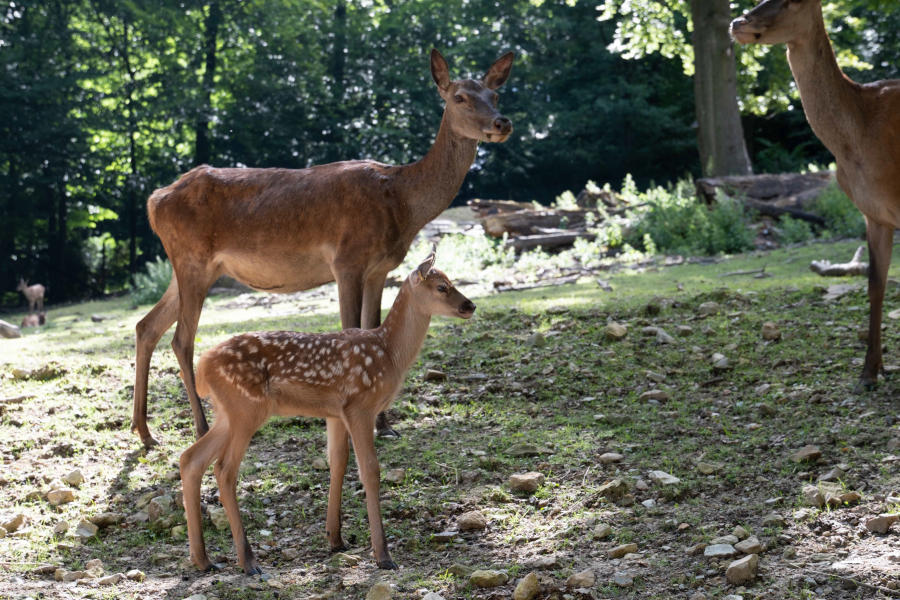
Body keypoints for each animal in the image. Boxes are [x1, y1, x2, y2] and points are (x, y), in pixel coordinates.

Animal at [134, 49, 512, 448]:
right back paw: (201, 427)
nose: (502, 122)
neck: (401, 202)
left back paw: (144, 431)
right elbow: (350, 329)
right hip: (192, 260)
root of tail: (153, 202)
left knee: (146, 326)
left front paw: (385, 424)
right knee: (181, 339)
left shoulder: (380, 268)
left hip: (187, 267)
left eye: (495, 95)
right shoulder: (346, 261)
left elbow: (372, 326)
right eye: (459, 97)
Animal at [179, 251, 474, 576]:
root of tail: (203, 367)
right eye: (441, 287)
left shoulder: (335, 412)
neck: (389, 354)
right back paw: (248, 561)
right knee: (224, 469)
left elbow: (338, 462)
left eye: (451, 281)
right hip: (247, 408)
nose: (470, 306)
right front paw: (383, 555)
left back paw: (203, 559)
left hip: (227, 413)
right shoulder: (360, 405)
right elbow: (370, 470)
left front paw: (335, 538)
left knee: (191, 459)